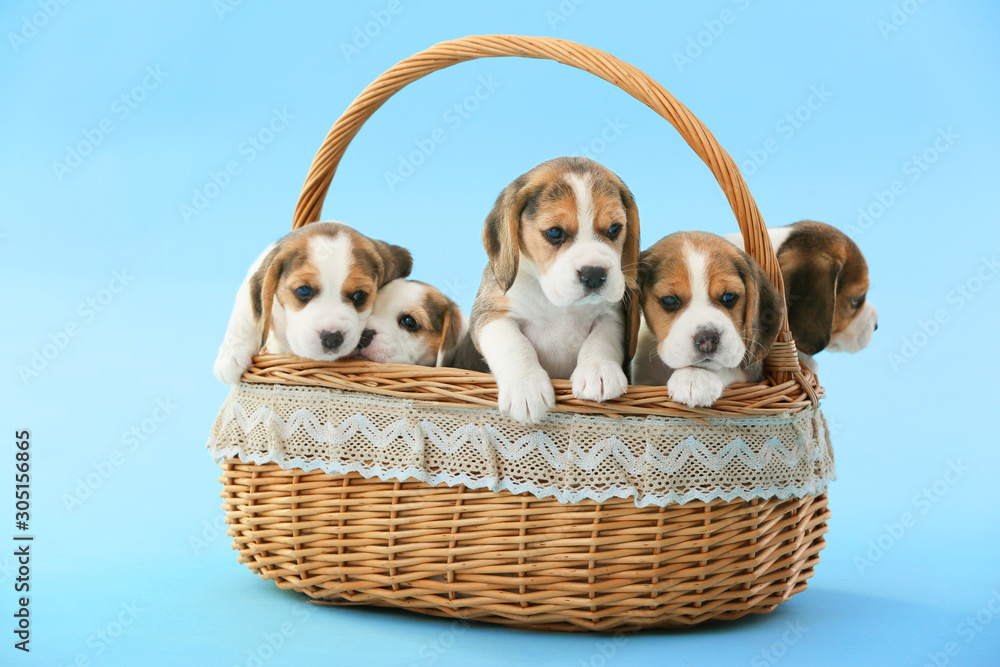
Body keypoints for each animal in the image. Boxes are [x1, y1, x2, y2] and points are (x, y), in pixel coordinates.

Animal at [454, 157, 640, 422]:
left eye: (614, 229)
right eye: (554, 232)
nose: (594, 274)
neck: (558, 304)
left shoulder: (612, 315)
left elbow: (601, 340)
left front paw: (598, 370)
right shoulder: (491, 315)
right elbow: (514, 344)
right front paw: (526, 386)